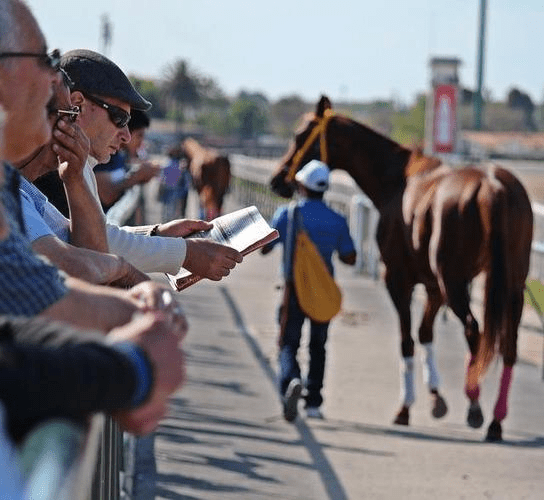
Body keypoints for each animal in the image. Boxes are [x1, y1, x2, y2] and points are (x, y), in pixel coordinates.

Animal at [270, 94, 532, 442]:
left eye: (300, 136)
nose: (278, 180)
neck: (398, 180)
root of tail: (494, 186)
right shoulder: (433, 286)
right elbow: (424, 333)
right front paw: (436, 399)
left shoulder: (398, 278)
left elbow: (407, 340)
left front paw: (405, 408)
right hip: (512, 281)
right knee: (509, 344)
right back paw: (495, 421)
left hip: (455, 280)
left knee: (473, 330)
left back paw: (475, 406)